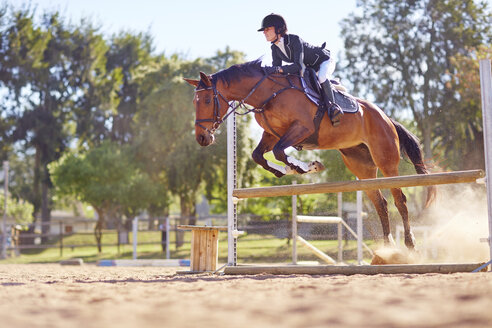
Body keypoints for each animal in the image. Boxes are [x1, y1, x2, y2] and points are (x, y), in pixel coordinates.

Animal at [184, 59, 434, 249]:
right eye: (194, 101)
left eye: (207, 99)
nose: (202, 139)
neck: (268, 93)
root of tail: (386, 117)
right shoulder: (272, 134)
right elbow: (259, 155)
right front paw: (287, 170)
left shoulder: (301, 128)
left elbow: (279, 151)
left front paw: (306, 166)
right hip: (361, 165)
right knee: (381, 203)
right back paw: (388, 246)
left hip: (386, 160)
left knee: (400, 200)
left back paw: (409, 243)